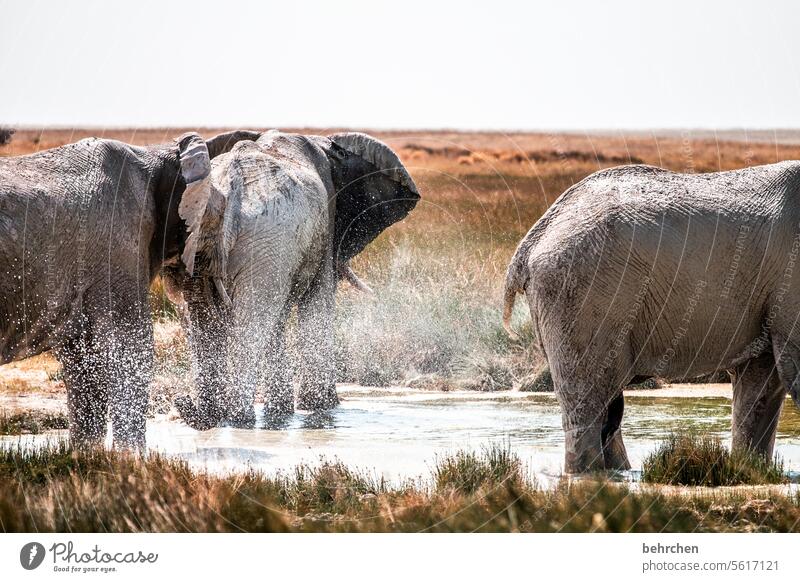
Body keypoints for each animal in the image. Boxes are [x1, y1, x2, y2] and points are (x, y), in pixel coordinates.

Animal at [0, 130, 260, 448]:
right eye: (219, 219)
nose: (179, 399)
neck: (158, 154)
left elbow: (84, 363)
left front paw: (91, 456)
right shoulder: (119, 245)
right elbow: (132, 350)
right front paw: (133, 457)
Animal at [172, 130, 422, 428]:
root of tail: (231, 185)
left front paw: (283, 412)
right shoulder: (326, 220)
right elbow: (317, 306)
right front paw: (320, 407)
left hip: (204, 241)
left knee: (204, 318)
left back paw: (212, 418)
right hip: (267, 242)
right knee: (252, 325)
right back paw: (240, 419)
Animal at [504, 163, 800, 474]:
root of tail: (532, 240)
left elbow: (760, 382)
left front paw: (751, 470)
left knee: (607, 407)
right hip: (582, 294)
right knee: (588, 399)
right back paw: (590, 475)